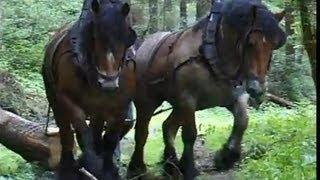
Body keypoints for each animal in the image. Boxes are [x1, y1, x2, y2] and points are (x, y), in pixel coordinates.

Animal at [41, 0, 136, 179]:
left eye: (127, 37)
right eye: (94, 37)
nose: (108, 84)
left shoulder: (121, 105)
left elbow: (110, 139)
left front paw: (108, 170)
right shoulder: (66, 98)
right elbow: (82, 132)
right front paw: (89, 164)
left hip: (98, 109)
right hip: (55, 100)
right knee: (66, 132)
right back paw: (68, 165)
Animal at [127, 0, 288, 179]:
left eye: (275, 44)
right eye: (251, 42)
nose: (257, 88)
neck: (212, 54)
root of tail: (142, 47)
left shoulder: (234, 97)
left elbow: (242, 122)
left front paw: (227, 156)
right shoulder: (188, 99)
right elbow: (190, 134)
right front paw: (189, 167)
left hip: (178, 105)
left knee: (167, 126)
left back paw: (171, 164)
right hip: (148, 101)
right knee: (142, 133)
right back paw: (137, 168)